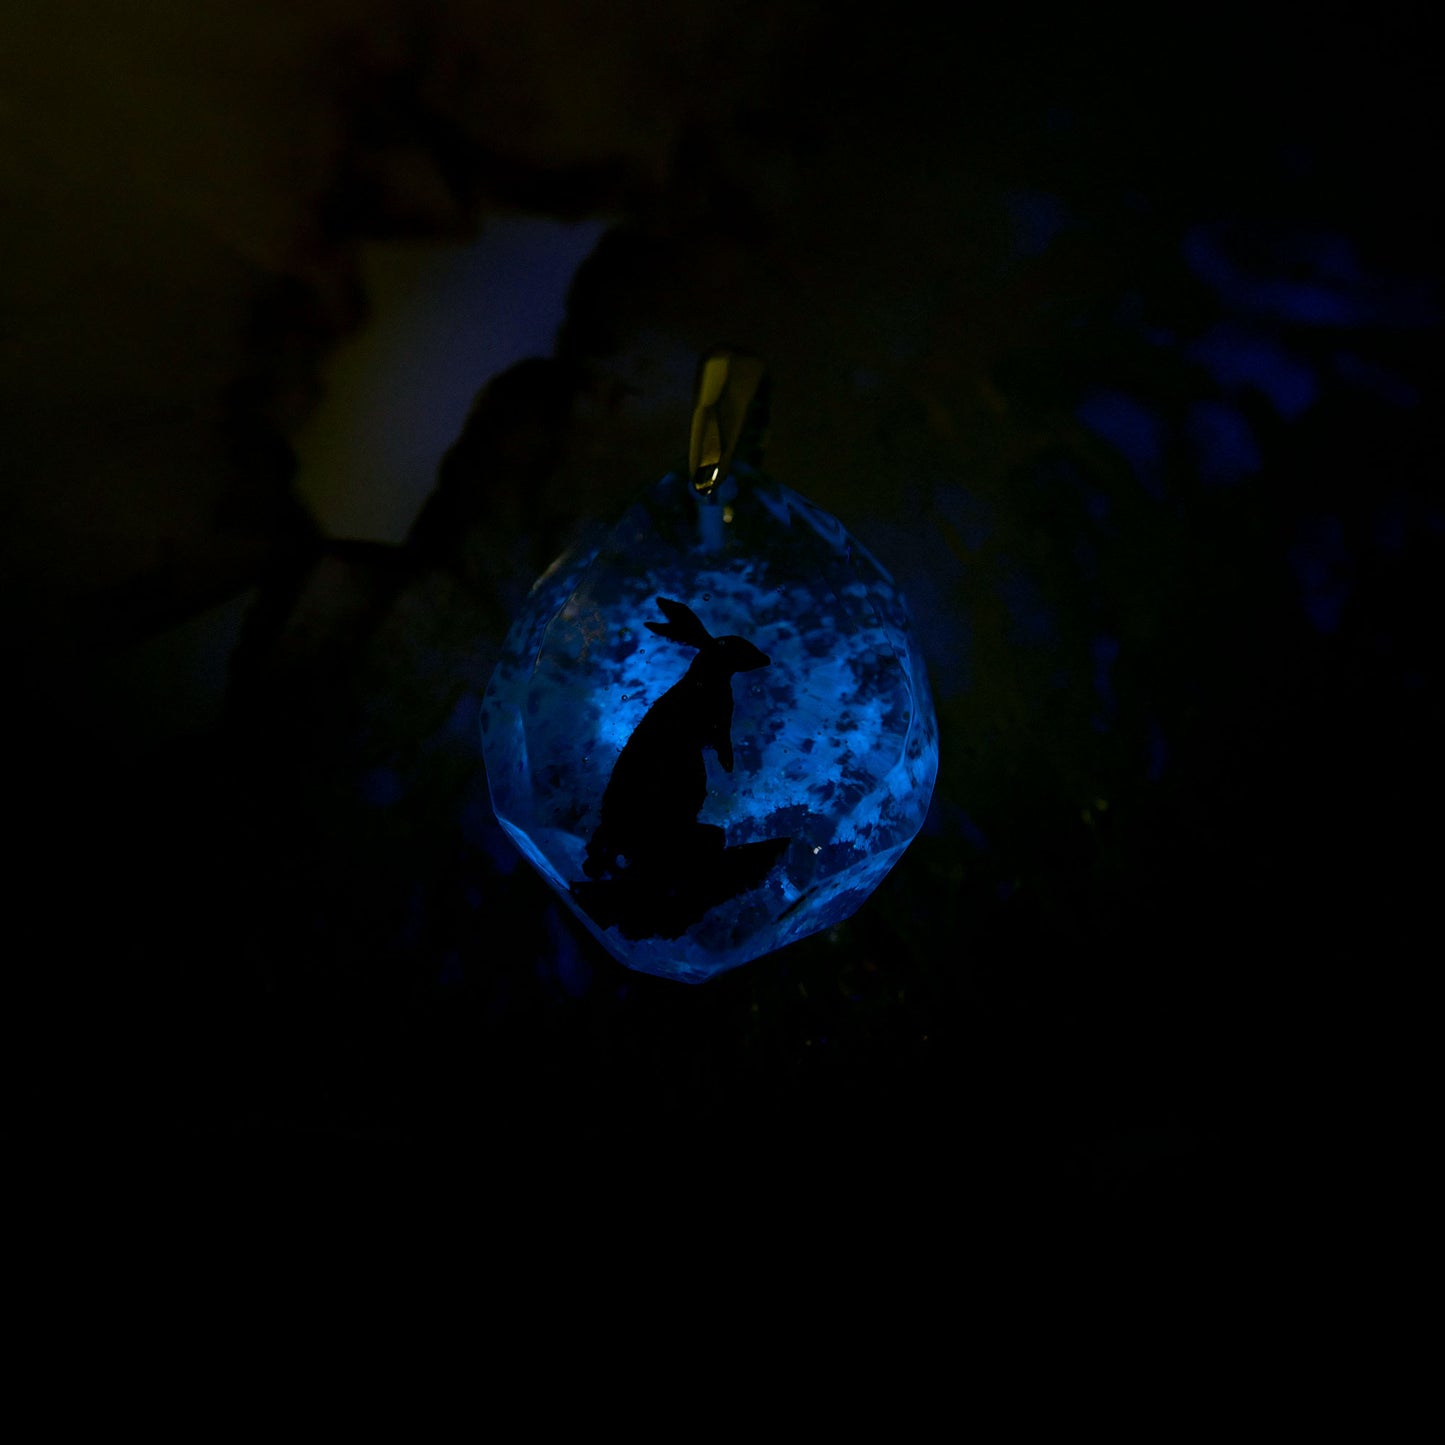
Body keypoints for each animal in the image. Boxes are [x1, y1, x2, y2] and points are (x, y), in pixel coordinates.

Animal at [583, 596, 770, 881]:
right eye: (741, 647)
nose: (765, 658)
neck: (702, 682)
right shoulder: (718, 725)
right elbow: (723, 746)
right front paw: (728, 765)